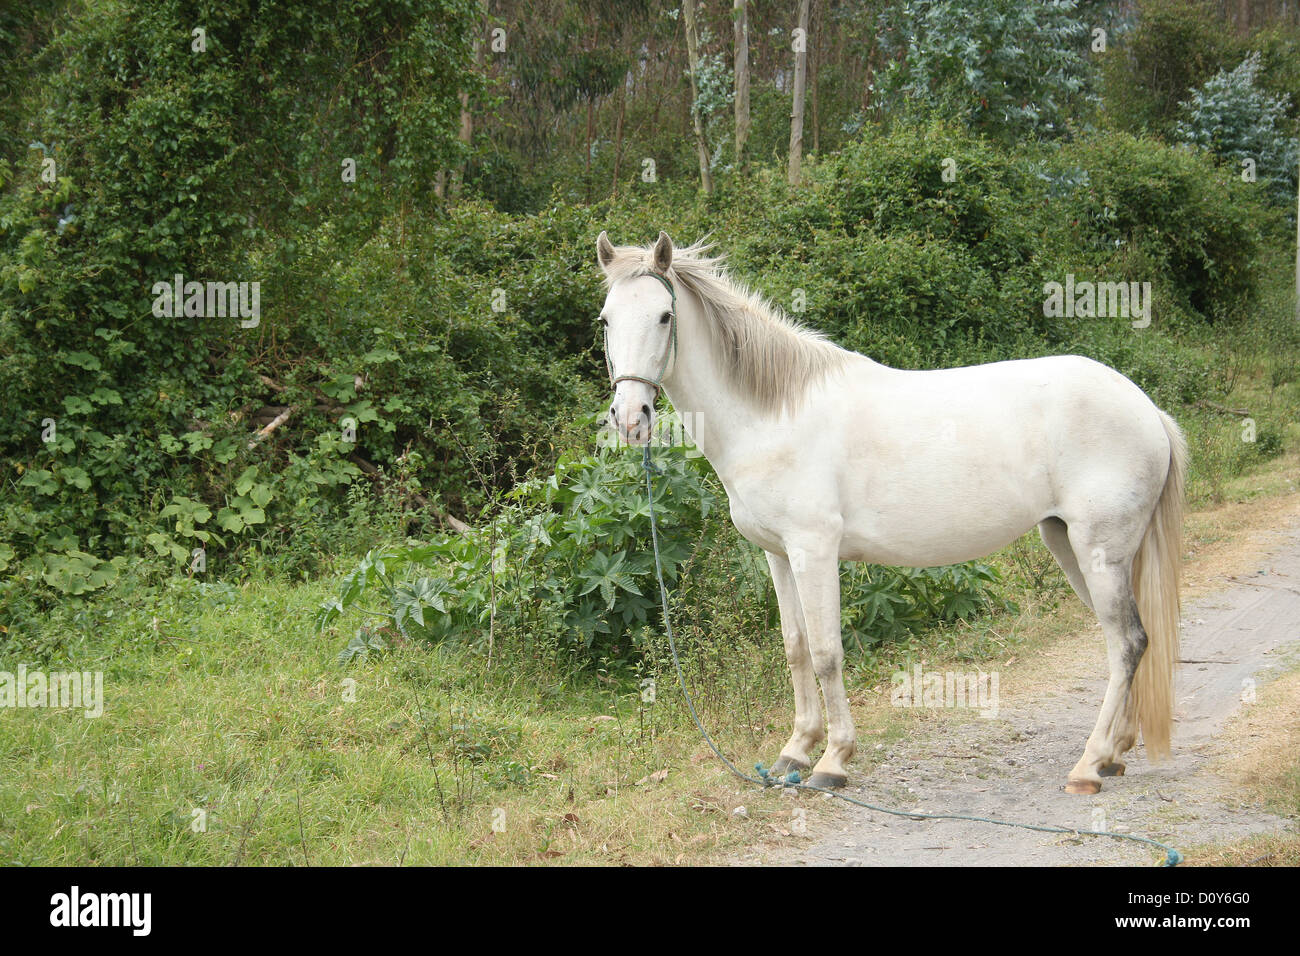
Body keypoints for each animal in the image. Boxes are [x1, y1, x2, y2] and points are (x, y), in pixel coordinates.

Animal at [595, 230, 1185, 790]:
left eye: (664, 316)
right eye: (605, 320)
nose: (630, 417)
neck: (774, 415)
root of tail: (1146, 408)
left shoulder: (814, 550)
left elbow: (828, 652)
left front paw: (832, 760)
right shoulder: (779, 556)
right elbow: (796, 648)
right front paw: (795, 751)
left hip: (1098, 550)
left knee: (1127, 642)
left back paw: (1088, 766)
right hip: (1069, 543)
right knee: (1125, 641)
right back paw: (1113, 753)